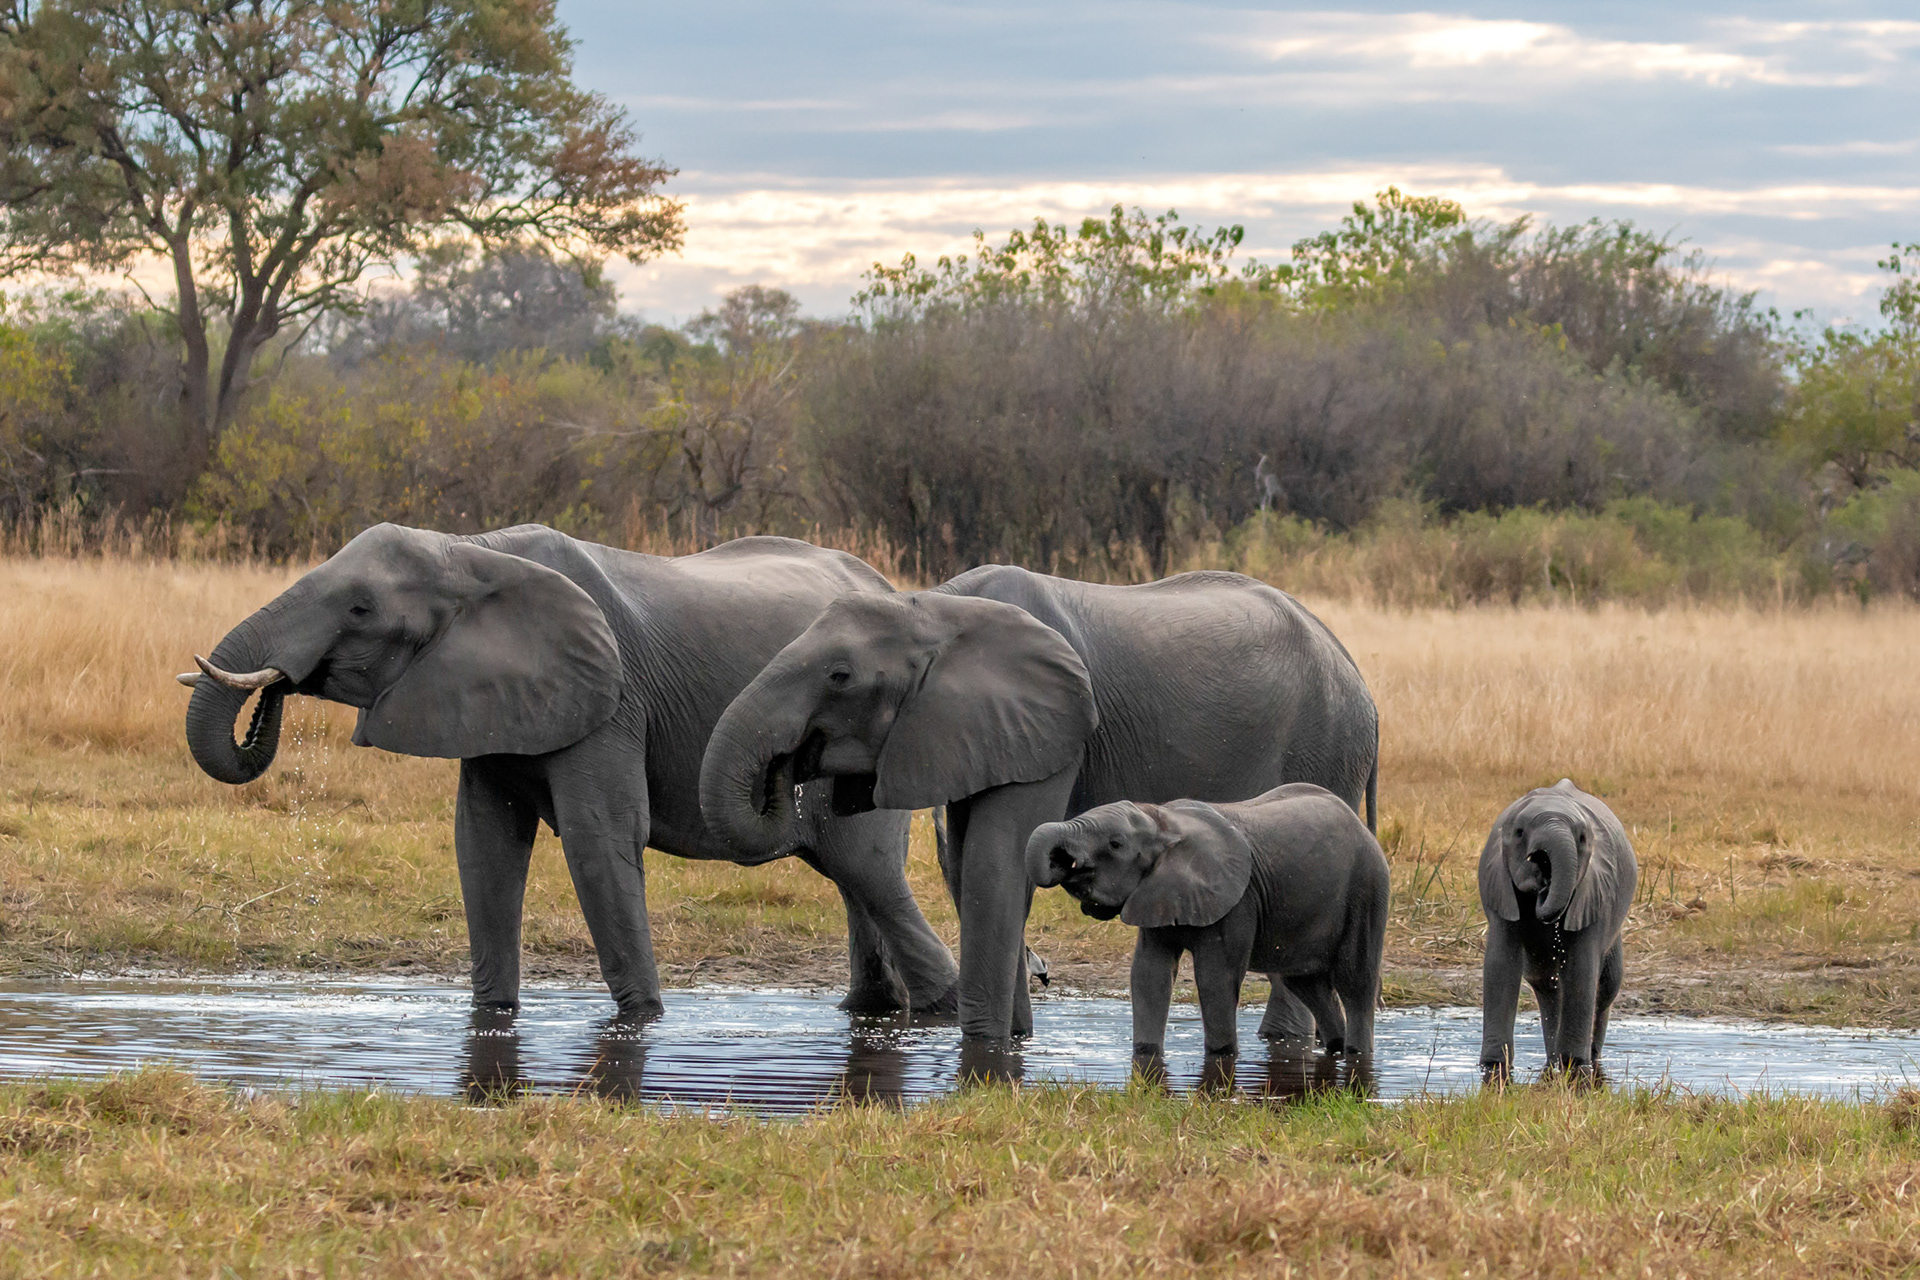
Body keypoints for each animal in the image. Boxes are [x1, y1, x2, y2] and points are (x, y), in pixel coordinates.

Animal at [179, 523, 959, 1021]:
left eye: (361, 608)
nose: (279, 688)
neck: (469, 552)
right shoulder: (489, 700)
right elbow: (484, 843)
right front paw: (493, 1013)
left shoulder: (609, 700)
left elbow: (597, 838)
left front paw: (643, 1020)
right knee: (858, 887)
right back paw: (871, 1009)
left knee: (868, 873)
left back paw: (942, 1011)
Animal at [699, 564, 1380, 1045]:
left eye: (840, 676)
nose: (786, 768)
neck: (933, 605)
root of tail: (1355, 671)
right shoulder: (970, 732)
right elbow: (966, 865)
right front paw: (1016, 1038)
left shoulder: (1052, 728)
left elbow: (995, 862)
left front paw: (983, 1048)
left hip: (1325, 747)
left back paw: (1283, 1044)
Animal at [1027, 784, 1389, 1077]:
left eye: (1116, 844)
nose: (1063, 862)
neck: (1161, 820)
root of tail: (1363, 828)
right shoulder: (1156, 891)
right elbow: (1149, 974)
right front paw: (1146, 1057)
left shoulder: (1238, 901)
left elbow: (1215, 978)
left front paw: (1222, 1058)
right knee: (1305, 983)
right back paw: (1335, 1048)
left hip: (1366, 889)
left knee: (1354, 980)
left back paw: (1358, 1053)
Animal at [1478, 779, 1638, 1078]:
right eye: (1519, 833)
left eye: (1583, 839)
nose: (1542, 876)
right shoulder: (1499, 885)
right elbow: (1500, 964)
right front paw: (1493, 1068)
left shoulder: (1594, 891)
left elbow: (1581, 969)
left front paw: (1574, 1065)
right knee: (1545, 983)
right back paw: (1552, 1060)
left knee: (1606, 986)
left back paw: (1586, 1058)